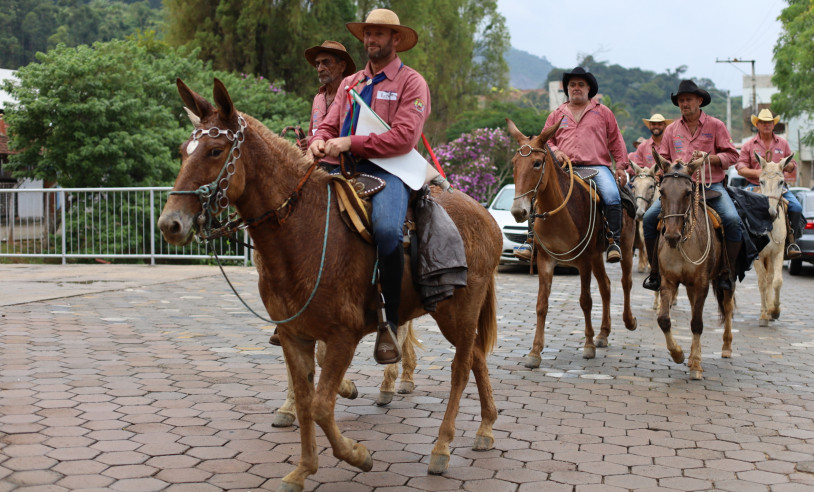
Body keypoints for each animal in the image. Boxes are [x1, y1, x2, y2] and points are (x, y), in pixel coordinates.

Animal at [159, 79, 504, 490]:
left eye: (215, 150)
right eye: (183, 152)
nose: (170, 224)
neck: (303, 229)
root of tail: (485, 216)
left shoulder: (342, 336)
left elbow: (323, 405)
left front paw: (357, 454)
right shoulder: (294, 334)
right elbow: (307, 398)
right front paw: (303, 468)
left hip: (458, 312)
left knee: (460, 368)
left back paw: (441, 447)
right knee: (477, 357)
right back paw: (485, 428)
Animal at [506, 120, 640, 366]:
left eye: (537, 163)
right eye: (514, 163)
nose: (519, 211)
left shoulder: (583, 261)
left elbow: (585, 301)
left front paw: (587, 346)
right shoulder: (545, 261)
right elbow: (541, 305)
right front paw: (534, 352)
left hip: (624, 247)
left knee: (625, 282)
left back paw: (629, 321)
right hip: (597, 256)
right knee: (606, 286)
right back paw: (603, 333)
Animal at [652, 147, 736, 380]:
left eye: (688, 192)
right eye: (661, 191)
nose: (671, 235)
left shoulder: (701, 283)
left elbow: (697, 323)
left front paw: (697, 364)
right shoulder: (668, 281)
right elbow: (664, 319)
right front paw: (678, 354)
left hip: (726, 279)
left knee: (727, 308)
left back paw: (726, 347)